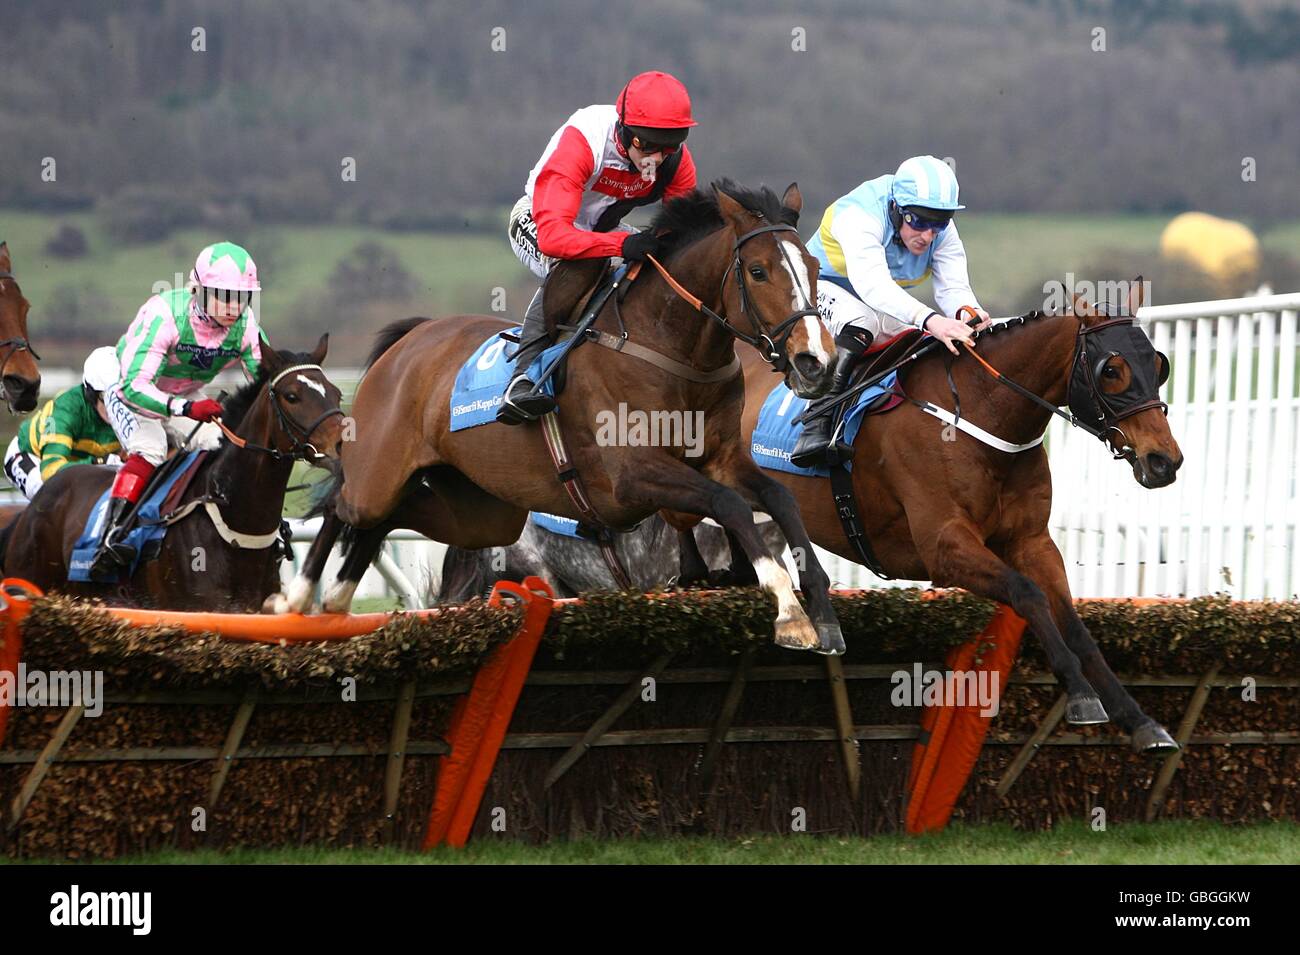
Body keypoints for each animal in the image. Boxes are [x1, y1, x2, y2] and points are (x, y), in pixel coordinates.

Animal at [686, 283, 1185, 753]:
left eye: (1158, 365)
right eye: (1112, 370)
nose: (1165, 461)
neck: (980, 414)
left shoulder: (1032, 542)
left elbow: (1076, 627)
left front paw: (1140, 721)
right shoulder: (943, 547)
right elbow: (1027, 594)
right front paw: (1081, 696)